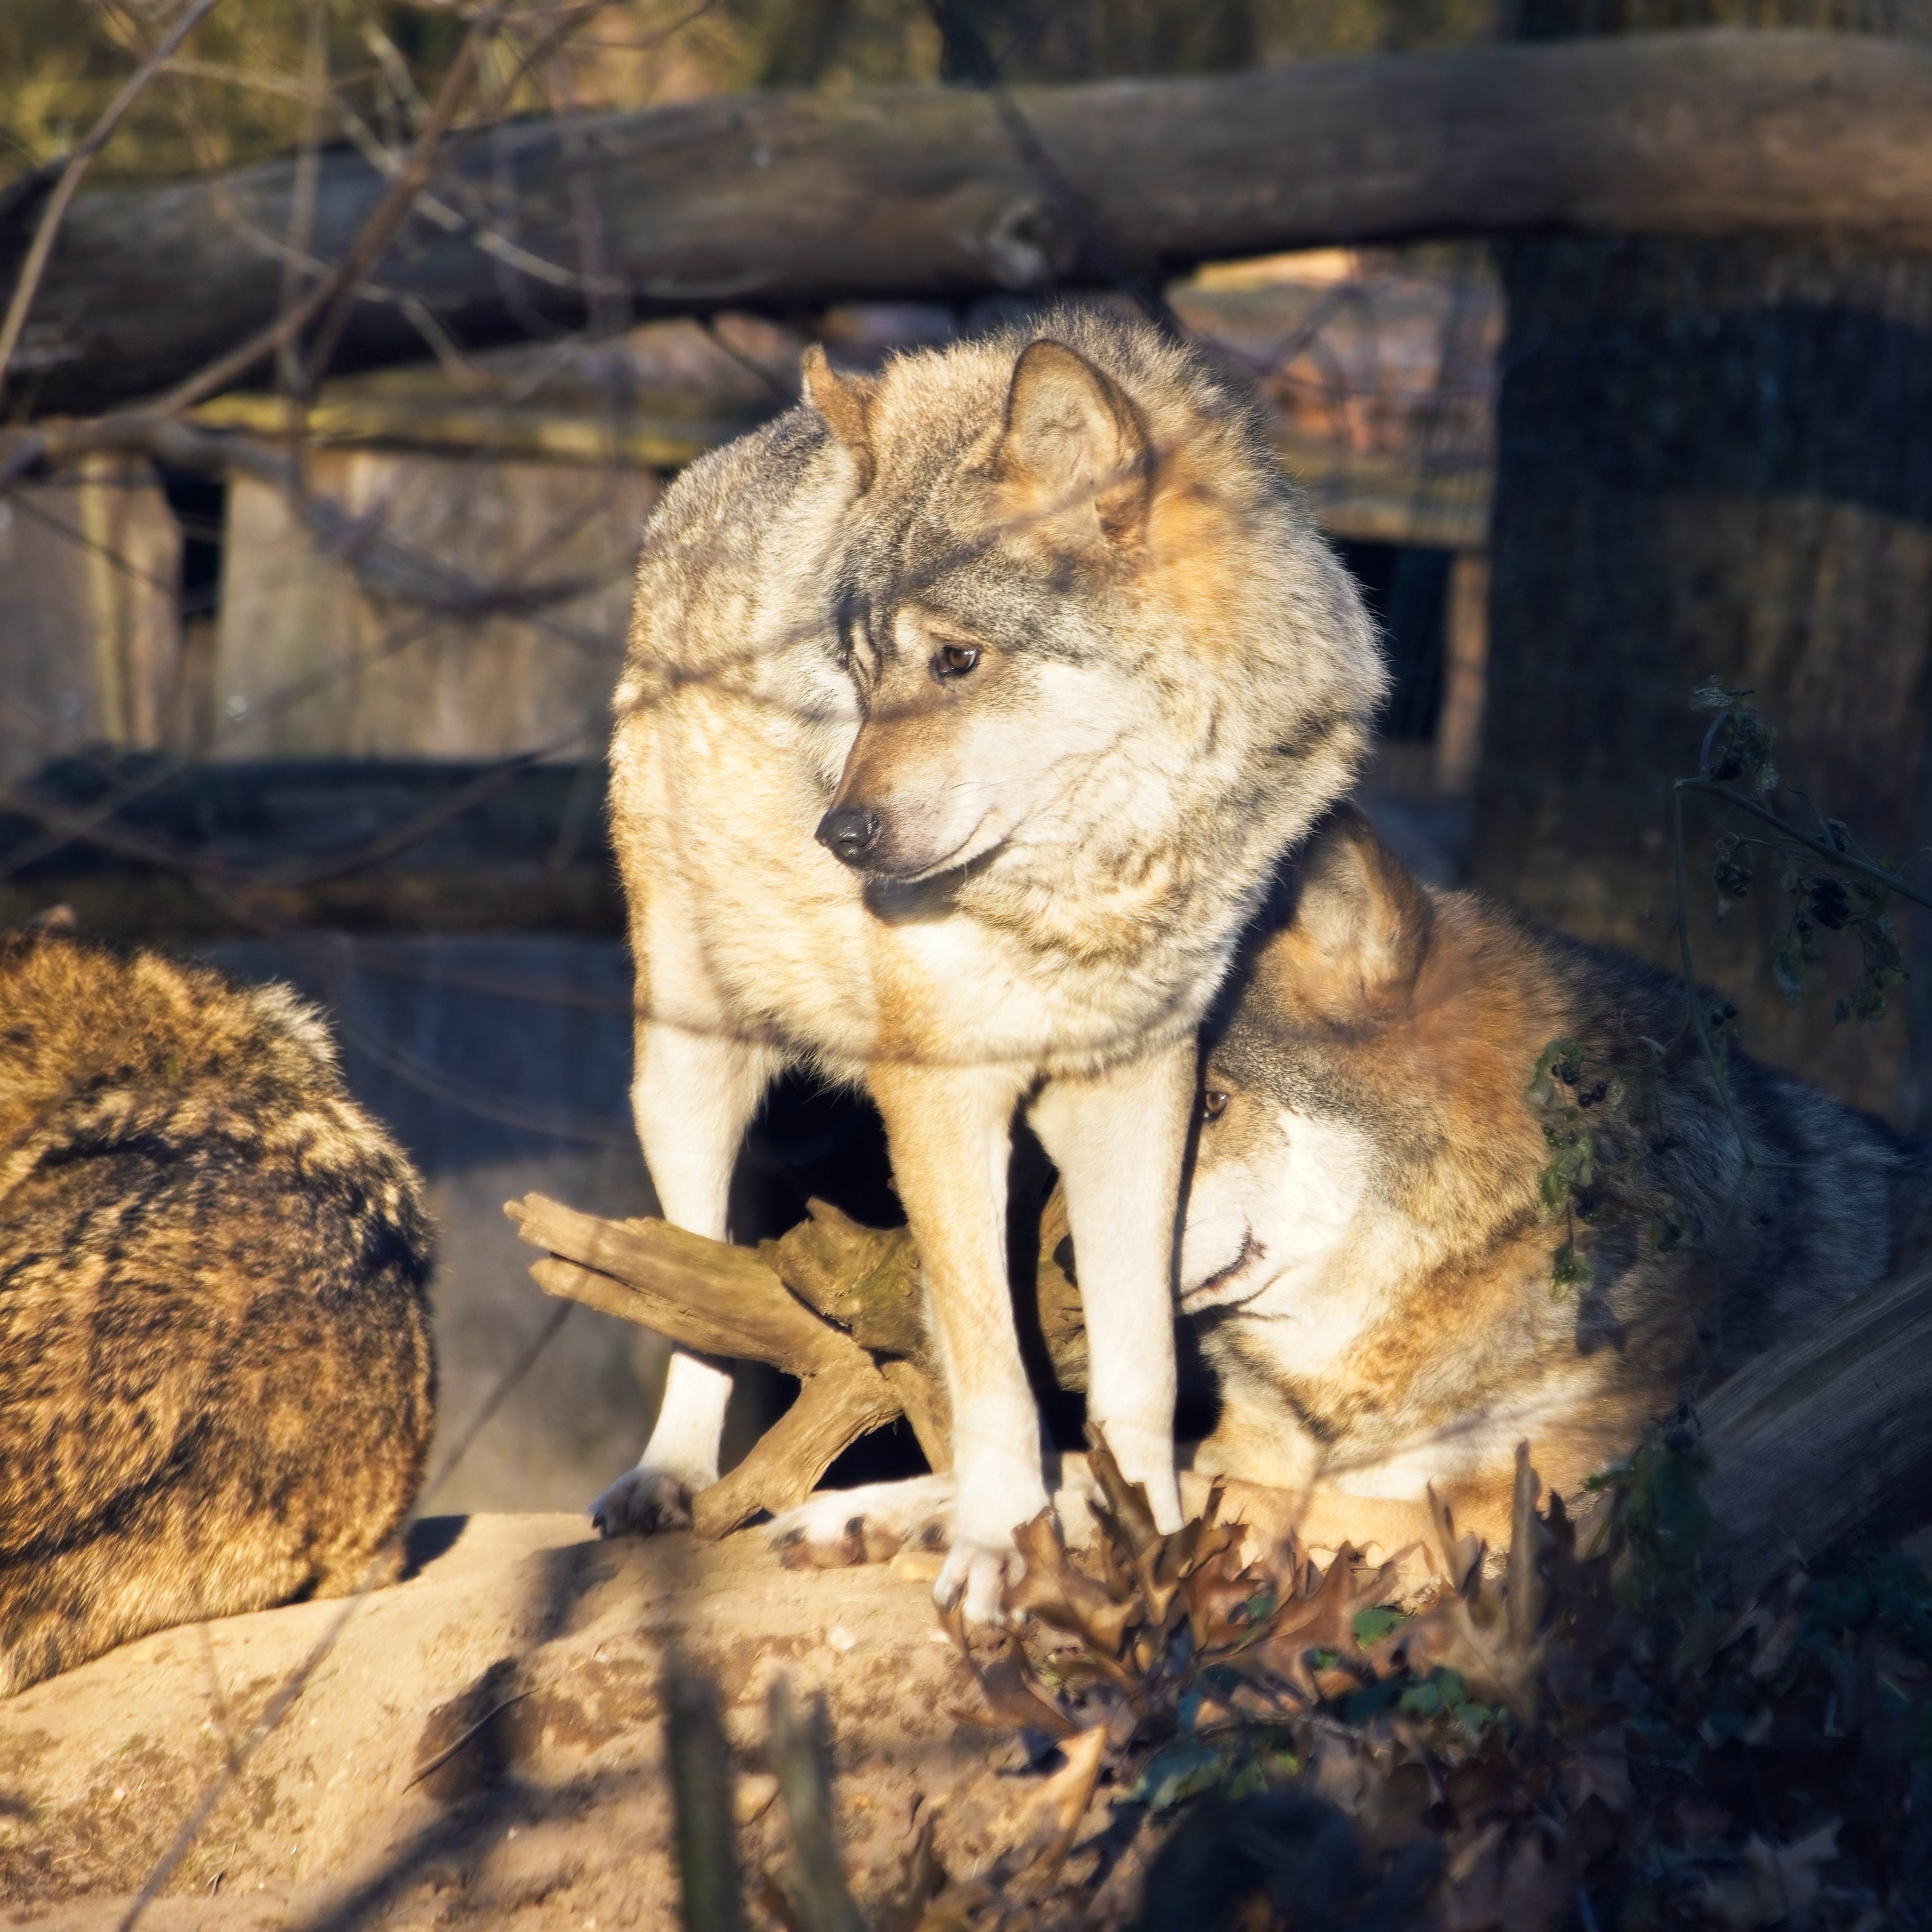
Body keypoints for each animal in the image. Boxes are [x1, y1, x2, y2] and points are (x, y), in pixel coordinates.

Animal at [597, 307, 1384, 1616]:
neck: (1098, 885)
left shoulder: (1136, 1082)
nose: (838, 837)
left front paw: (1143, 1538)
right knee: (692, 1273)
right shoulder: (936, 1090)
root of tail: (712, 471)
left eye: (954, 661)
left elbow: (1138, 1362)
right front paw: (999, 1548)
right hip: (686, 1061)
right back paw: (668, 1478)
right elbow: (992, 1369)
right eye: (859, 676)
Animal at [770, 806, 1925, 1569]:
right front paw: (891, 1507)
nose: (1062, 1258)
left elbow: (1189, 1493)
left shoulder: (1507, 1524)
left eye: (1209, 1105)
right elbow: (1110, 1464)